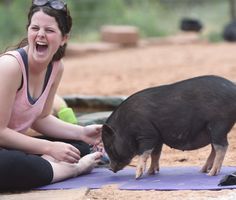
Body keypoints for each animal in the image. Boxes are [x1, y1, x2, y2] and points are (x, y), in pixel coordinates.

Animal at [102, 76, 236, 179]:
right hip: (213, 130)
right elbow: (155, 154)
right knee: (214, 148)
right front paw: (150, 172)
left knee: (222, 147)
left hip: (218, 125)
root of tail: (233, 88)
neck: (125, 126)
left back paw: (211, 174)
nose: (109, 168)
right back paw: (202, 170)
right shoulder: (158, 137)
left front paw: (138, 176)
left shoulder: (147, 135)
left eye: (109, 146)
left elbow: (144, 153)